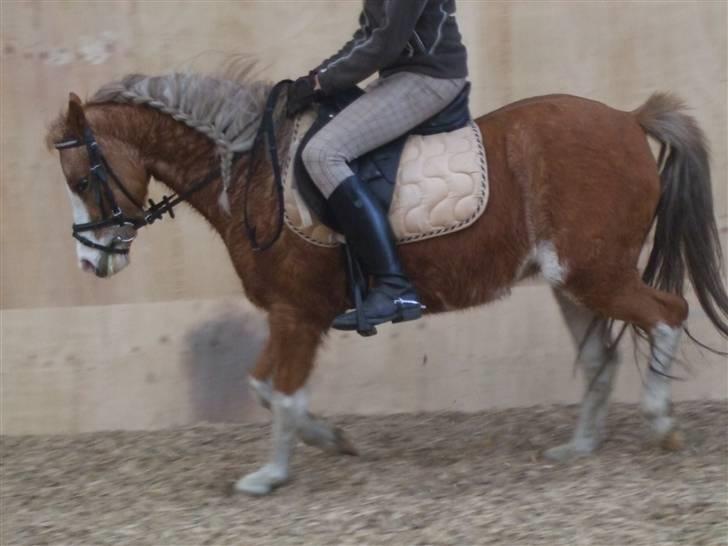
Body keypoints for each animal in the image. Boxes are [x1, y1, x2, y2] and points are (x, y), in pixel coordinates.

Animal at [46, 68, 728, 496]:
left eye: (81, 179)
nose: (91, 263)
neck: (253, 176)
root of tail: (628, 118)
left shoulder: (294, 313)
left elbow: (280, 392)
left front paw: (270, 477)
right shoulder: (292, 317)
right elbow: (266, 388)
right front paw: (332, 440)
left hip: (598, 274)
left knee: (668, 315)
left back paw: (662, 424)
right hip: (569, 280)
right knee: (599, 359)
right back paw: (578, 448)